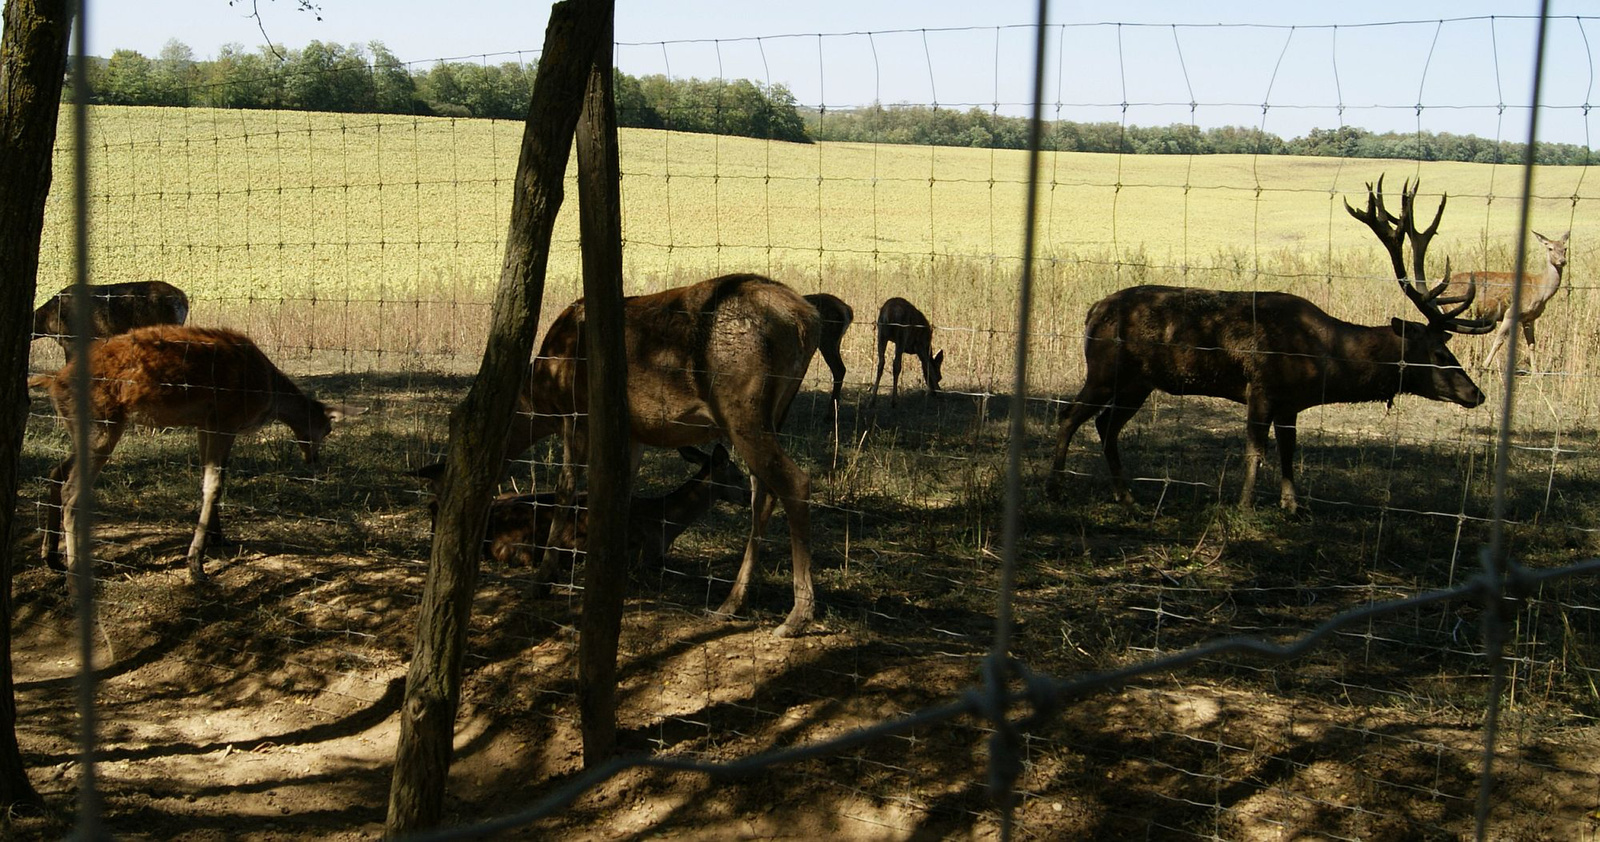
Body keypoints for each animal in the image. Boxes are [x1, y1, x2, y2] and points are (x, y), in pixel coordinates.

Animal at [33, 326, 363, 585]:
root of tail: (53, 381)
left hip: (83, 429)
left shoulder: (204, 424)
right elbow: (215, 484)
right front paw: (196, 565)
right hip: (102, 425)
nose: (314, 460)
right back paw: (75, 575)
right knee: (72, 491)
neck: (267, 393)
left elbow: (207, 481)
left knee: (55, 471)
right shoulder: (225, 420)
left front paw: (218, 537)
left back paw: (51, 557)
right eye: (327, 429)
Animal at [480, 273, 819, 637]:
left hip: (741, 405)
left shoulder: (578, 415)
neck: (543, 397)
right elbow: (621, 492)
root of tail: (807, 321)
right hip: (774, 413)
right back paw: (730, 604)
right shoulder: (633, 433)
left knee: (795, 482)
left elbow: (565, 490)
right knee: (763, 493)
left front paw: (544, 579)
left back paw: (796, 617)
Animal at [1043, 178, 1491, 515]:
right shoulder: (1261, 387)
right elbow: (1255, 450)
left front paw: (1292, 505)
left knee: (1105, 424)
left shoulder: (1290, 402)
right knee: (1069, 415)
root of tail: (1092, 311)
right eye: (1439, 354)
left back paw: (1126, 496)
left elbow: (1290, 451)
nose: (1477, 393)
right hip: (1105, 369)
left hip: (1139, 383)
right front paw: (1244, 505)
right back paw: (1055, 490)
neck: (1322, 356)